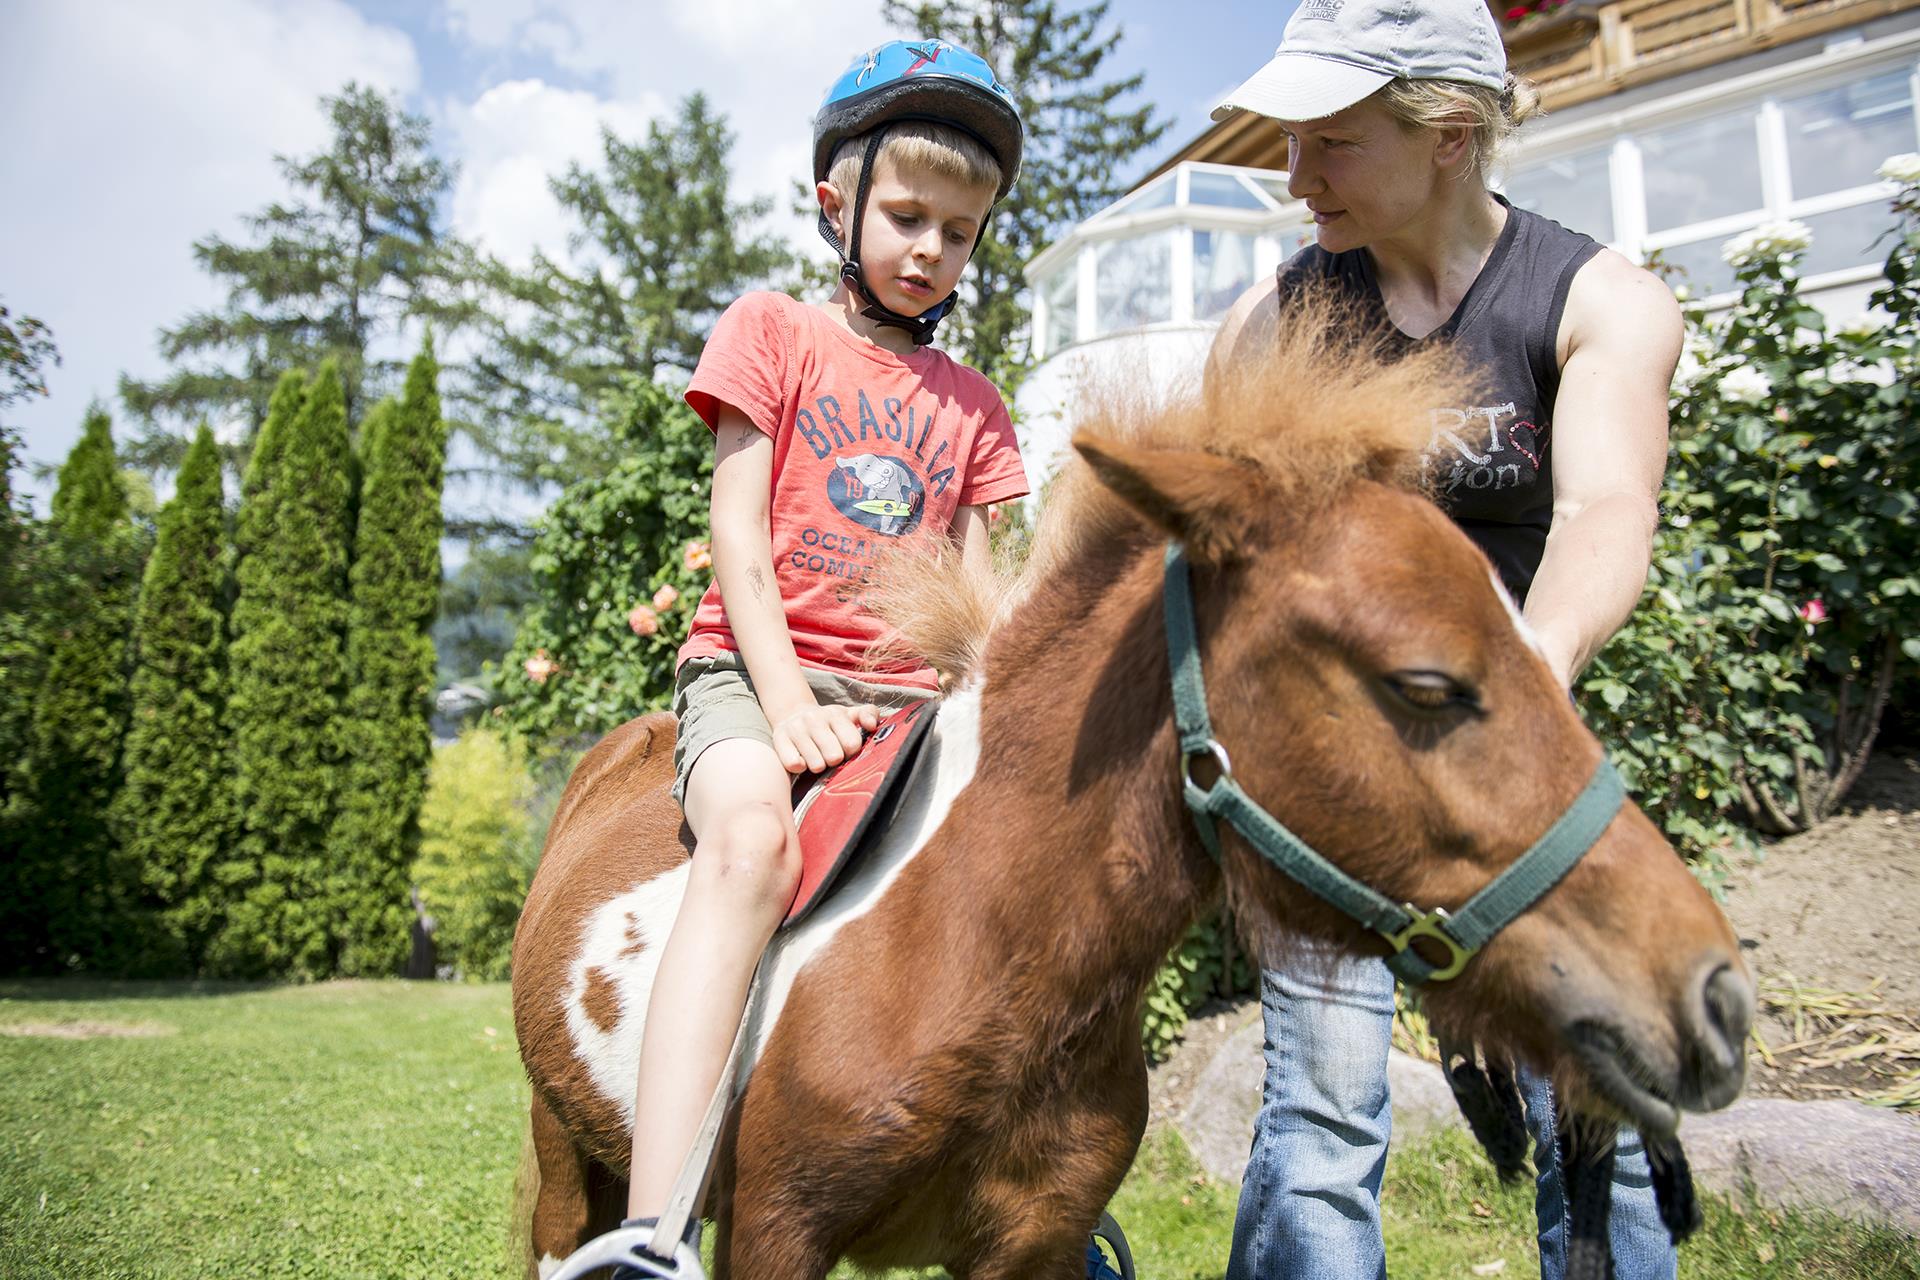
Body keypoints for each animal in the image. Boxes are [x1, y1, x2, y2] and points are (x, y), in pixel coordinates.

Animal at [510, 320, 1758, 1280]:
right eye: (1425, 683)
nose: (1716, 995)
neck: (973, 945)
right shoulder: (774, 1232)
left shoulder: (1036, 1245)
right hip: (570, 1162)